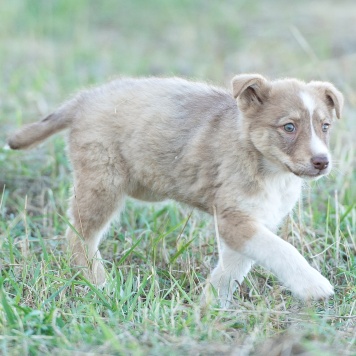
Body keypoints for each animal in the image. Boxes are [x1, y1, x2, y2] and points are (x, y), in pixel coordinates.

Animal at [7, 74, 342, 306]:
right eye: (289, 127)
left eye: (325, 126)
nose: (322, 162)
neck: (271, 170)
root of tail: (85, 98)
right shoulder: (234, 219)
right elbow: (282, 250)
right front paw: (313, 285)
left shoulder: (253, 221)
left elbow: (233, 269)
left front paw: (209, 307)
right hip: (102, 183)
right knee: (78, 235)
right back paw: (99, 283)